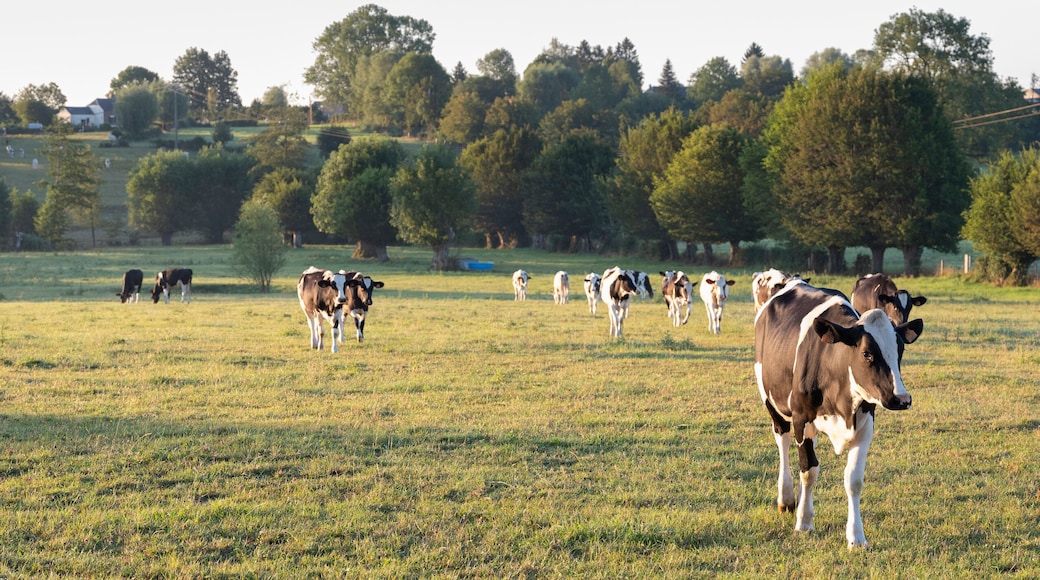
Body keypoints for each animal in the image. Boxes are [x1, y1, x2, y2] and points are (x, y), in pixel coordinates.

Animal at [754, 280, 922, 548]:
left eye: (900, 351)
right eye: (867, 354)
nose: (902, 399)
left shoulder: (865, 424)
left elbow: (853, 480)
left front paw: (856, 537)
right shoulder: (802, 419)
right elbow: (808, 471)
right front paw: (804, 522)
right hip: (771, 401)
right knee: (783, 441)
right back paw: (787, 498)